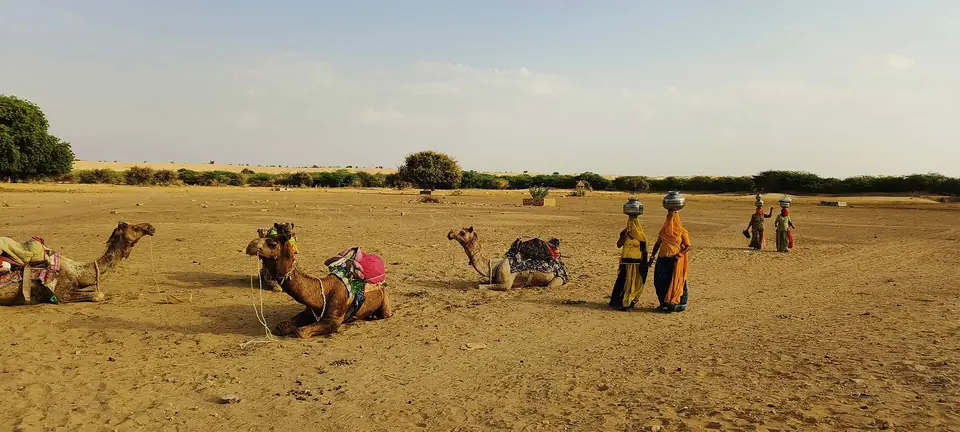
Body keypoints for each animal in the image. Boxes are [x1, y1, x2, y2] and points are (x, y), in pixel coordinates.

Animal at [0, 222, 156, 305]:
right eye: (135, 228)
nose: (151, 227)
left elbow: (95, 291)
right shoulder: (60, 293)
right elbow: (98, 295)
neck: (78, 271)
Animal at [245, 223, 392, 338]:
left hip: (385, 301)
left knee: (385, 314)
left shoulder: (332, 320)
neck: (323, 291)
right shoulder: (308, 312)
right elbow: (282, 326)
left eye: (272, 244)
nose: (250, 245)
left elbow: (300, 332)